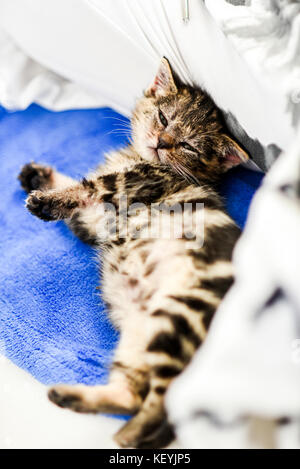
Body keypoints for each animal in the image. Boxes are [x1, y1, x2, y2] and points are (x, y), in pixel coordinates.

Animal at [18, 57, 248, 446]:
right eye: (164, 118)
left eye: (188, 145)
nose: (161, 143)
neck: (137, 157)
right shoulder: (94, 220)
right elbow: (79, 193)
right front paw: (36, 175)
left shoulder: (130, 184)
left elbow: (87, 187)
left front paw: (46, 201)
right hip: (140, 337)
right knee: (131, 394)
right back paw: (69, 397)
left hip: (178, 315)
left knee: (159, 401)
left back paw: (123, 436)